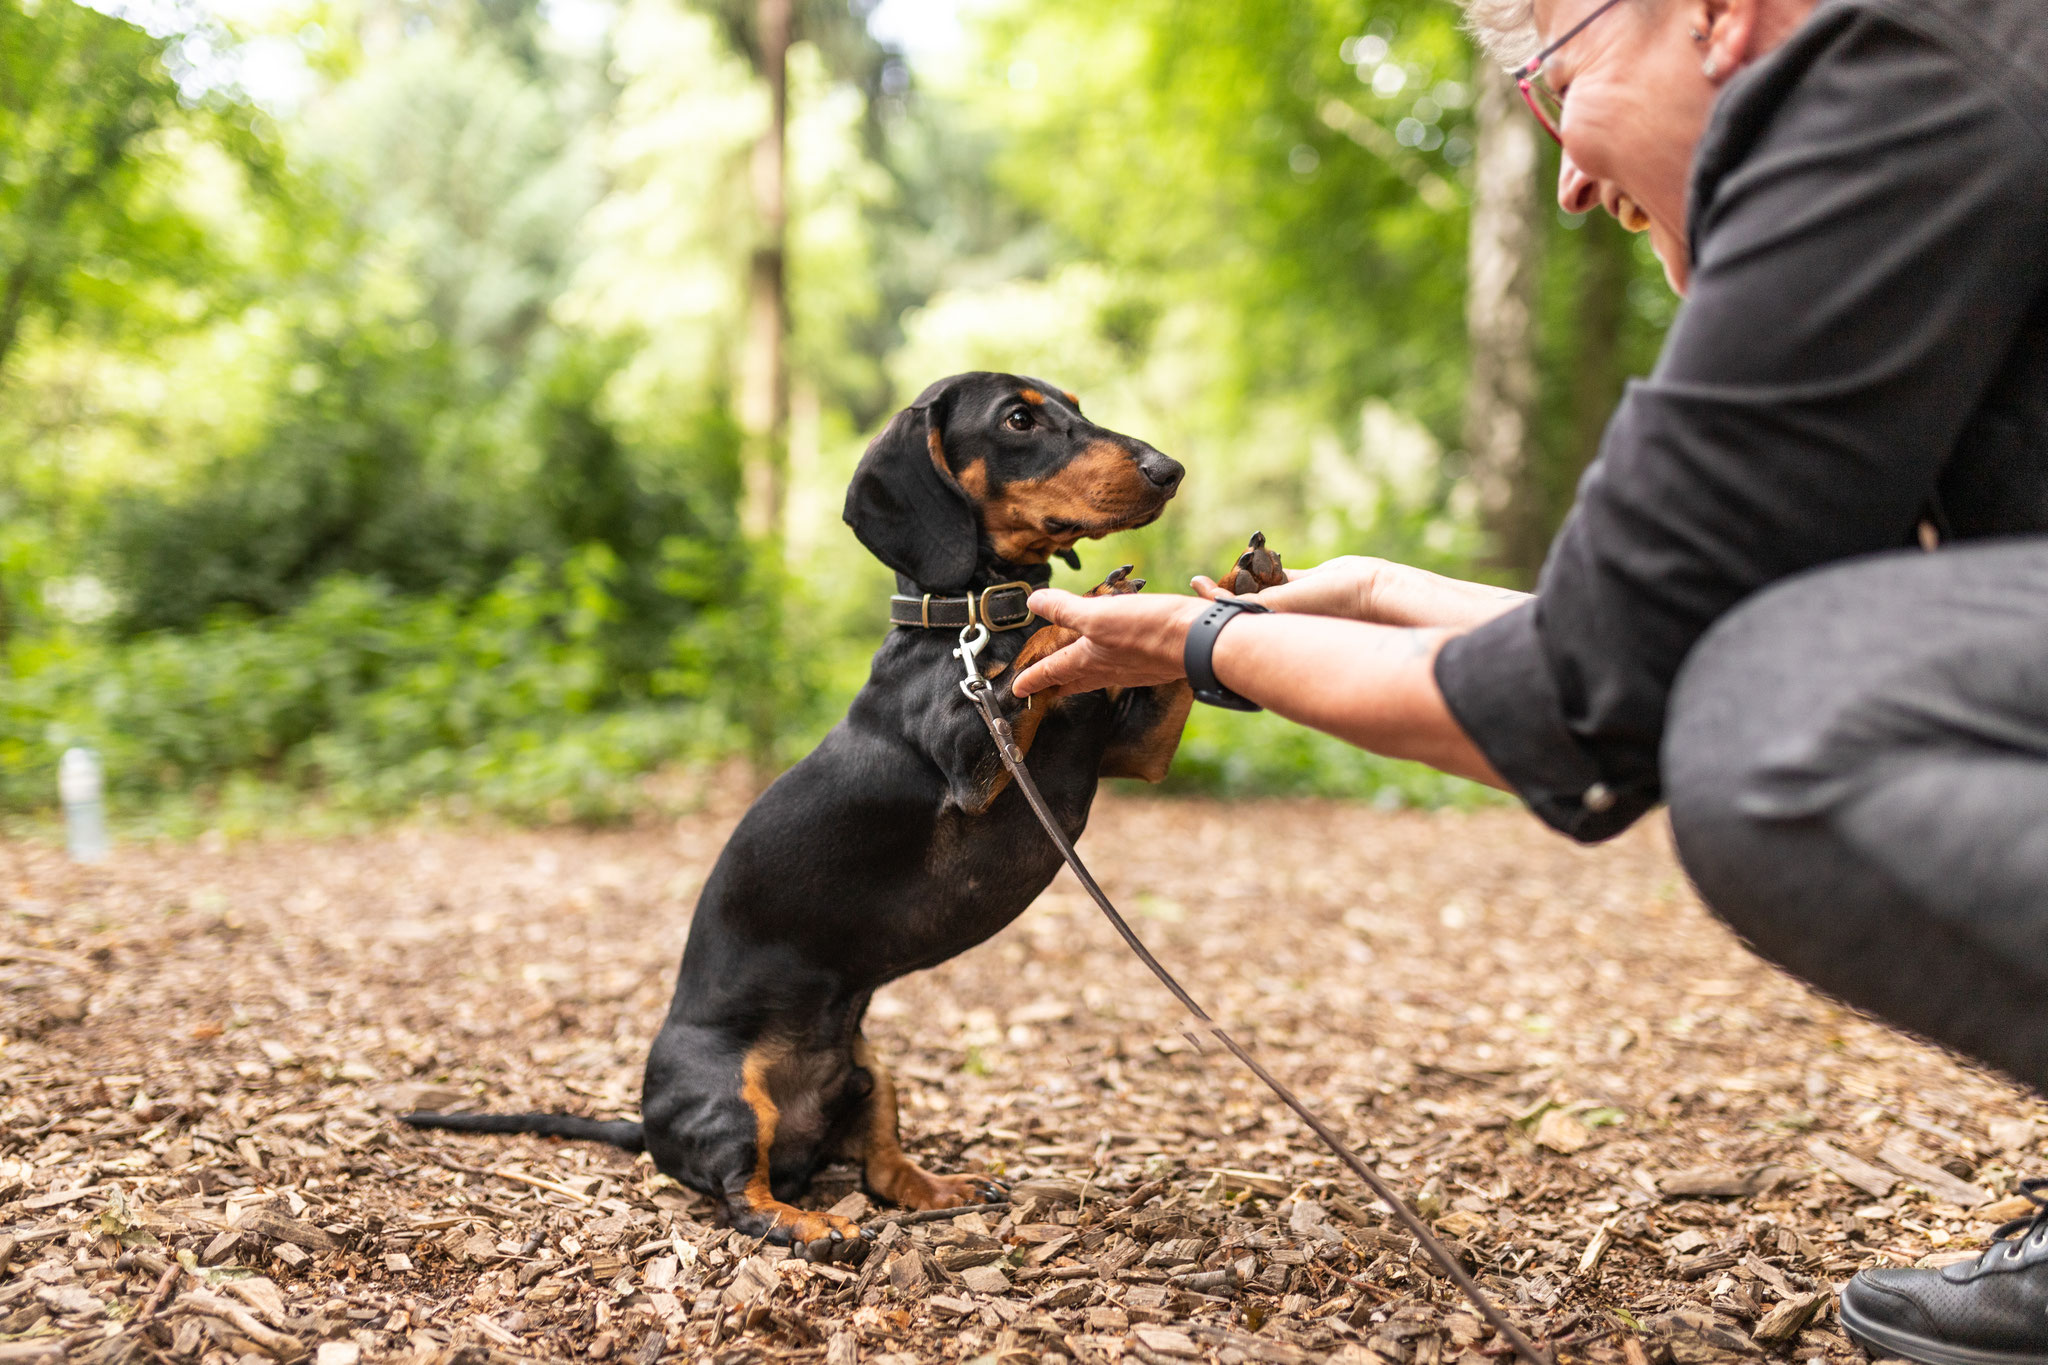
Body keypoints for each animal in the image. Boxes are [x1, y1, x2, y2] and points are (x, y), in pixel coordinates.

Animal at [407, 370, 1220, 1260]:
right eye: (1019, 419)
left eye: (1074, 404)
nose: (1170, 469)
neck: (964, 622)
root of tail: (647, 1125)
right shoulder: (976, 757)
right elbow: (1027, 661)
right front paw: (1090, 598)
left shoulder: (1136, 750)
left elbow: (1163, 687)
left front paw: (1230, 585)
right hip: (730, 1093)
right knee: (741, 1194)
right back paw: (809, 1224)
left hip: (874, 1069)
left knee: (883, 1169)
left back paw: (942, 1186)